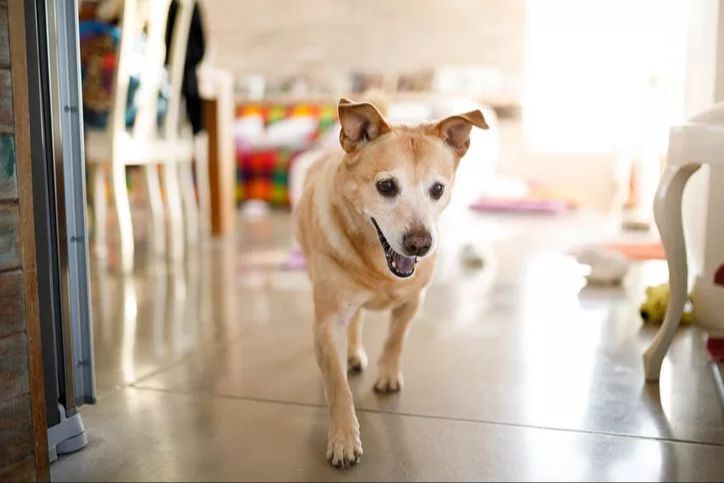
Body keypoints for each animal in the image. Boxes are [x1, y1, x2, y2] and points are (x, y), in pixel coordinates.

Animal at [292, 99, 486, 468]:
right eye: (386, 187)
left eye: (437, 189)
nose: (420, 244)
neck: (378, 264)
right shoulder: (328, 321)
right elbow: (338, 385)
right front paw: (344, 439)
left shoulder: (413, 301)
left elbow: (395, 339)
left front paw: (388, 375)